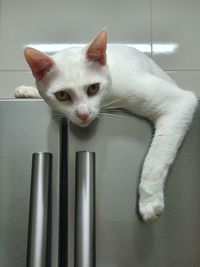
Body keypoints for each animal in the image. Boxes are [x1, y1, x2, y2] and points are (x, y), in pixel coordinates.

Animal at [15, 30, 197, 224]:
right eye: (62, 95)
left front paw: (149, 200)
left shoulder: (179, 103)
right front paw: (28, 90)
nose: (83, 114)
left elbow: (155, 159)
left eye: (93, 88)